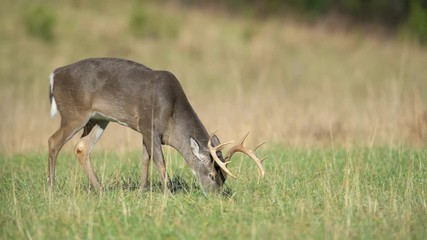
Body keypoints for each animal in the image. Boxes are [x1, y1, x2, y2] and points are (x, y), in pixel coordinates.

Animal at [47, 57, 268, 193]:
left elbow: (145, 159)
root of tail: (54, 74)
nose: (217, 196)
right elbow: (160, 162)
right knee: (53, 141)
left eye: (225, 178)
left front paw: (143, 191)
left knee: (81, 147)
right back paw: (51, 187)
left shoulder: (147, 132)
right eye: (212, 175)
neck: (172, 113)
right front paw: (166, 193)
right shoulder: (149, 126)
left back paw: (101, 189)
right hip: (74, 113)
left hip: (99, 119)